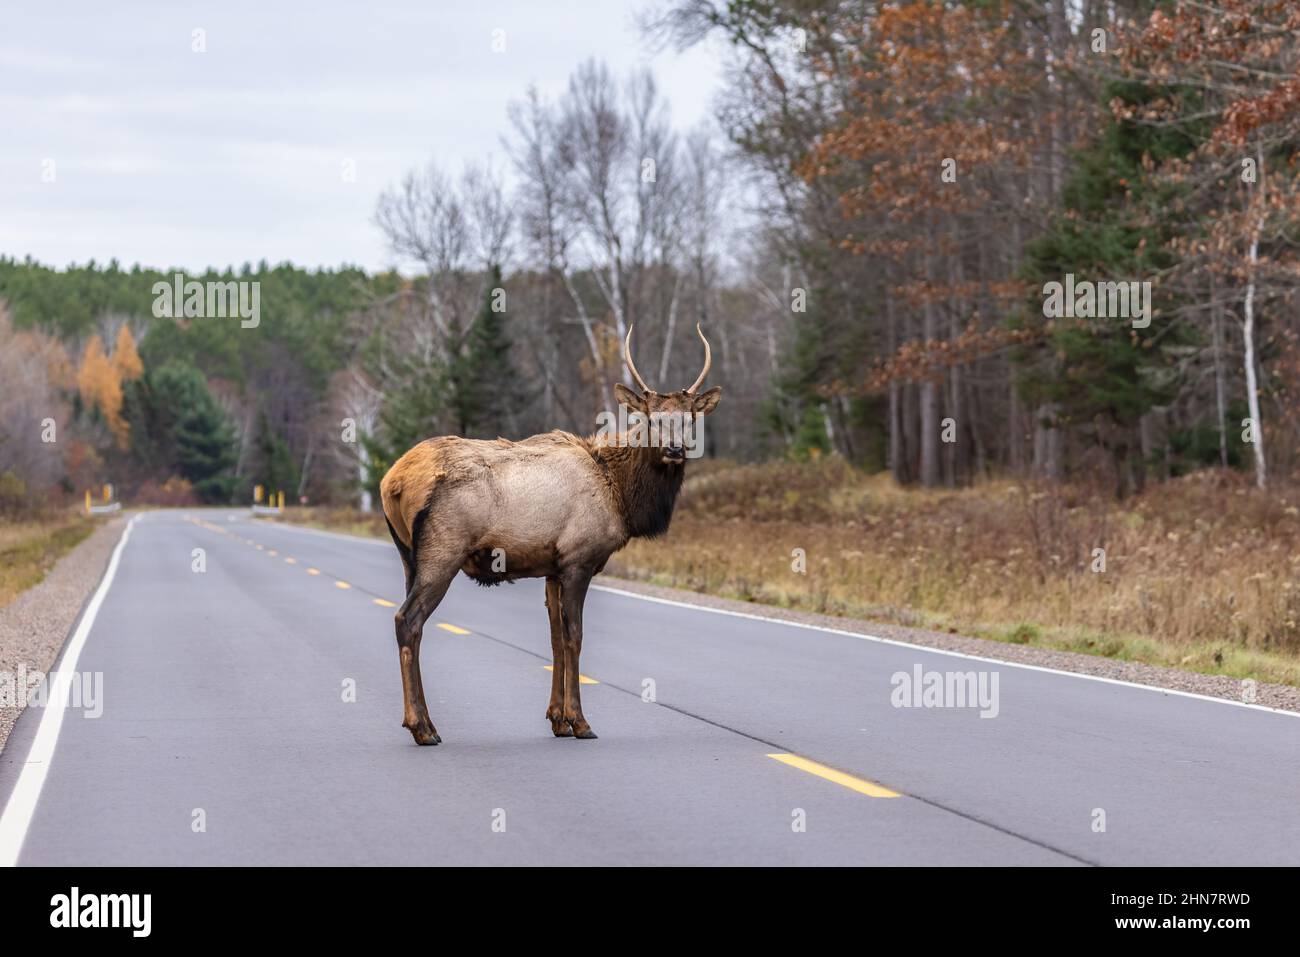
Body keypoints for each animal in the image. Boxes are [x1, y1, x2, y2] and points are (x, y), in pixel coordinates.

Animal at [377, 325, 722, 743]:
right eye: (652, 420)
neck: (622, 496)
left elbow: (555, 640)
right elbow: (575, 637)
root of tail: (392, 481)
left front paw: (557, 719)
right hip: (440, 553)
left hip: (407, 556)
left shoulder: (552, 568)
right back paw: (423, 726)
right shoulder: (578, 560)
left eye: (689, 420)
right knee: (407, 621)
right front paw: (580, 721)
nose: (673, 449)